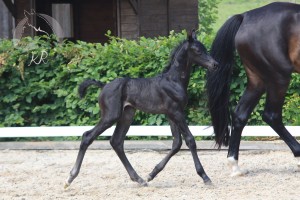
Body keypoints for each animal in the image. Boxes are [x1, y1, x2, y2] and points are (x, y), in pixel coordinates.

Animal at [64, 29, 217, 188]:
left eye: (205, 49)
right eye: (198, 51)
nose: (215, 65)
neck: (174, 81)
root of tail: (104, 85)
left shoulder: (171, 114)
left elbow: (176, 144)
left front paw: (151, 174)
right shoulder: (176, 112)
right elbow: (190, 140)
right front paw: (205, 176)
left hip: (127, 115)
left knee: (116, 142)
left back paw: (139, 179)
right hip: (111, 116)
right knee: (88, 136)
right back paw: (70, 178)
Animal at [206, 2, 300, 176]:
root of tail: (246, 16)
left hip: (258, 81)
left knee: (240, 115)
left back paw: (234, 166)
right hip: (279, 77)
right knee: (271, 116)